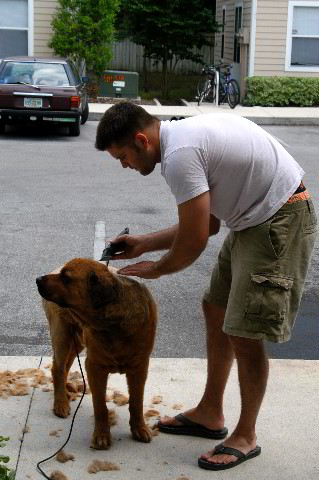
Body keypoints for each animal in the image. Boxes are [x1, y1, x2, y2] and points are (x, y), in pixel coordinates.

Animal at [35, 258, 157, 450]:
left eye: (66, 278)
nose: (38, 279)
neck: (112, 323)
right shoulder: (94, 367)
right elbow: (100, 406)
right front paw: (101, 435)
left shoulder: (139, 367)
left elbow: (137, 401)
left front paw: (139, 428)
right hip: (62, 334)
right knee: (58, 367)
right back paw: (61, 402)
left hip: (76, 341)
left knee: (65, 366)